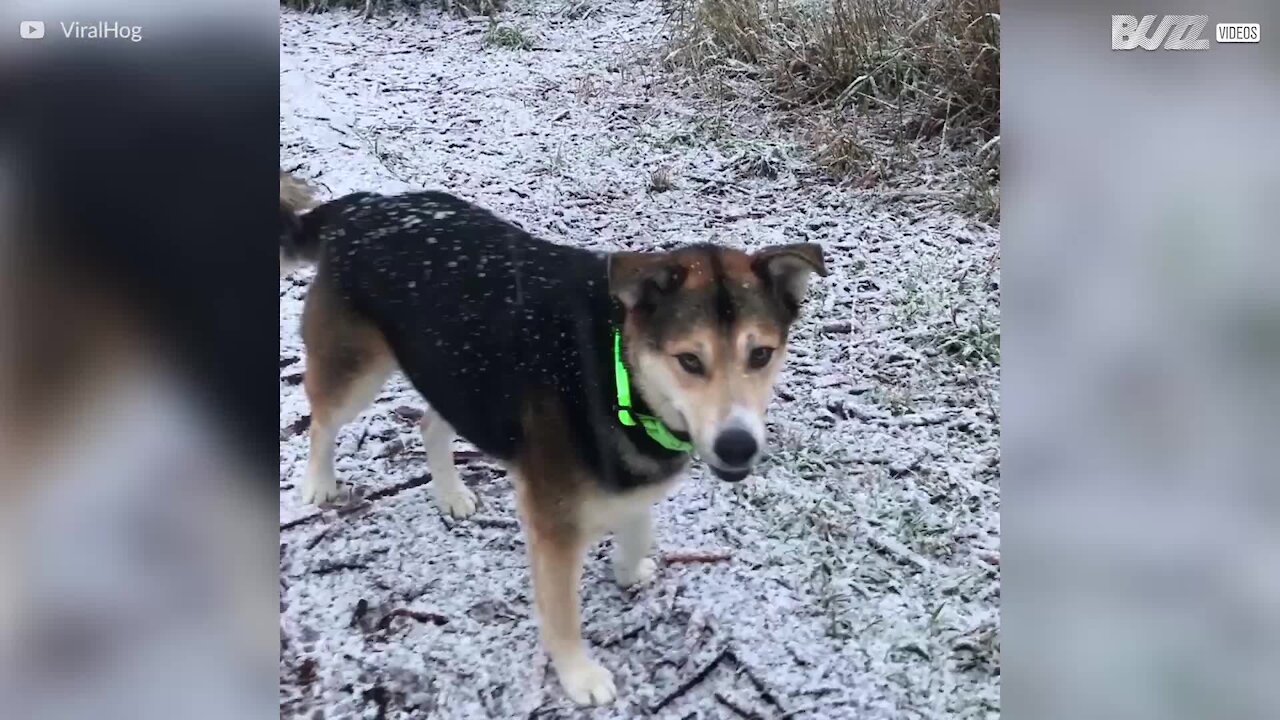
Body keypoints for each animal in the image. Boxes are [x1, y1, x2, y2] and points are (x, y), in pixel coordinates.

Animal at [277, 176, 829, 702]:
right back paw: (319, 483)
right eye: (689, 360)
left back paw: (450, 493)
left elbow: (637, 525)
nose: (738, 445)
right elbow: (562, 613)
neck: (615, 371)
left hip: (460, 375)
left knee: (429, 424)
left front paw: (628, 569)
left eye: (760, 354)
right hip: (356, 369)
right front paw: (578, 676)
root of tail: (363, 204)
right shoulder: (555, 528)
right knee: (323, 421)